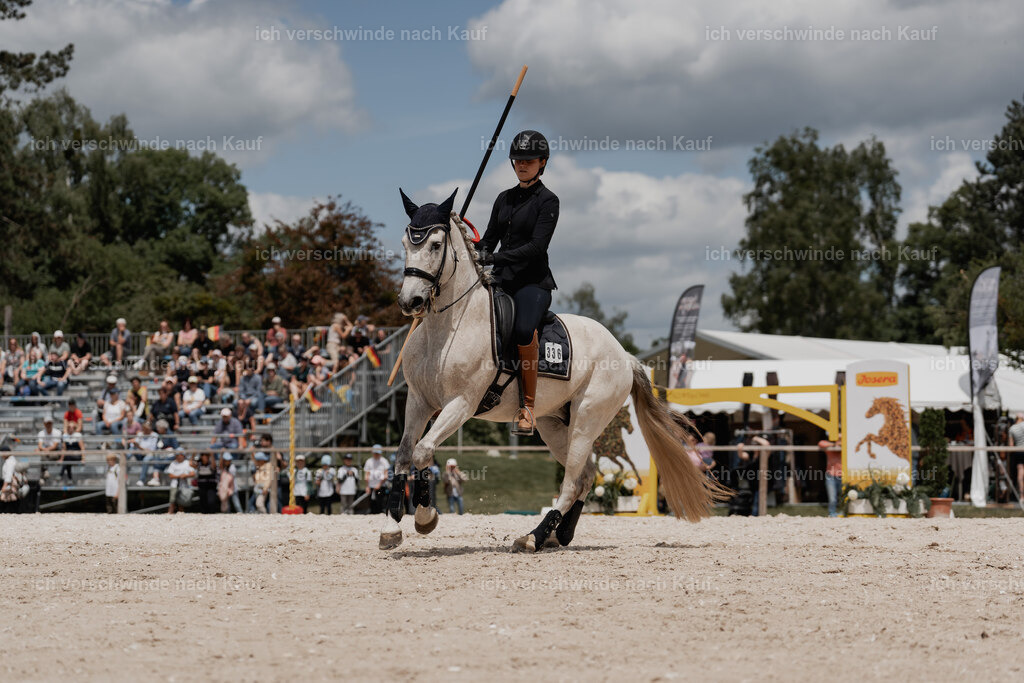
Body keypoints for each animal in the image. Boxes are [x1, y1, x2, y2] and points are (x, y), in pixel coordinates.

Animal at [381, 188, 728, 552]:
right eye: (405, 244)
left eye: (435, 245)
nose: (410, 302)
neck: (448, 326)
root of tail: (624, 354)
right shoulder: (418, 401)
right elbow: (404, 454)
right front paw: (391, 527)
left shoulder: (461, 403)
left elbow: (423, 451)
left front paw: (425, 518)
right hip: (553, 424)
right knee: (586, 475)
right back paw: (558, 534)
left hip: (587, 419)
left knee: (573, 480)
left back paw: (533, 536)